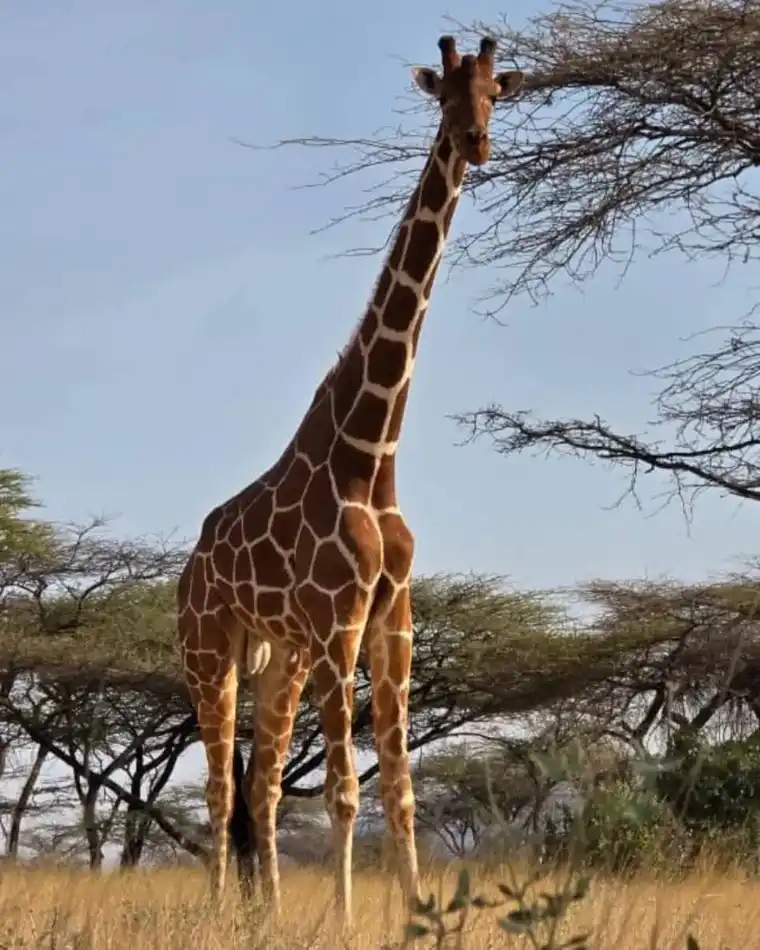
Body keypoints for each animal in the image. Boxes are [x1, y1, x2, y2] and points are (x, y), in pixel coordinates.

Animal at [177, 34, 525, 926]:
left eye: (495, 95)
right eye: (445, 95)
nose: (476, 142)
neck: (371, 453)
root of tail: (190, 568)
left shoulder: (392, 616)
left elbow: (398, 790)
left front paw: (418, 915)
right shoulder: (340, 619)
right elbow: (341, 791)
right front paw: (342, 917)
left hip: (281, 662)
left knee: (261, 788)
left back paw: (264, 916)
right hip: (208, 650)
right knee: (220, 791)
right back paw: (223, 911)